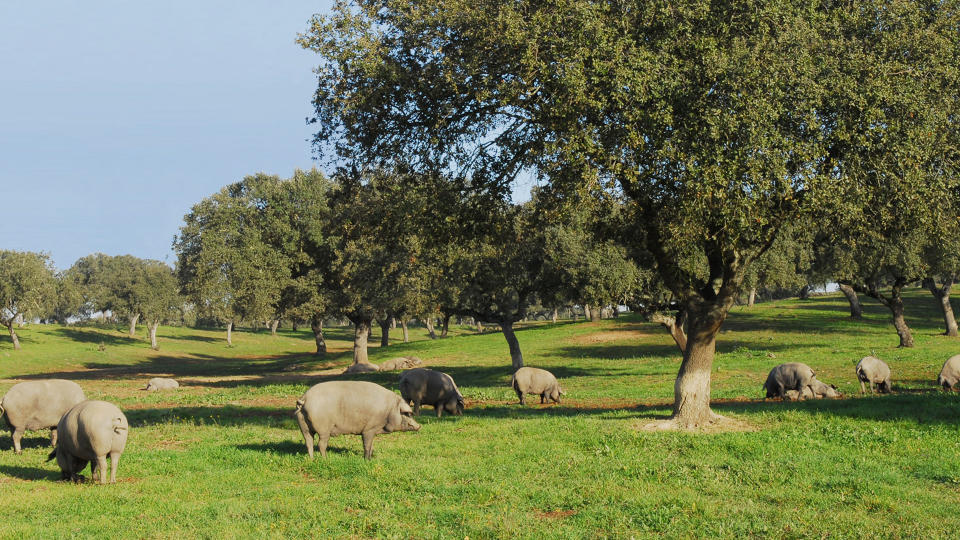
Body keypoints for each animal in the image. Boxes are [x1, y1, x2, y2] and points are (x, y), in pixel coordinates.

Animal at [292, 380, 420, 460]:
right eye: (407, 414)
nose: (419, 426)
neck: (388, 411)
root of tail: (304, 399)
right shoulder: (369, 429)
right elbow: (367, 445)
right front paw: (367, 460)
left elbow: (372, 445)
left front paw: (372, 457)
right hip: (323, 429)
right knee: (321, 444)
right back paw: (325, 459)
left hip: (304, 426)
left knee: (308, 442)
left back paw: (312, 459)